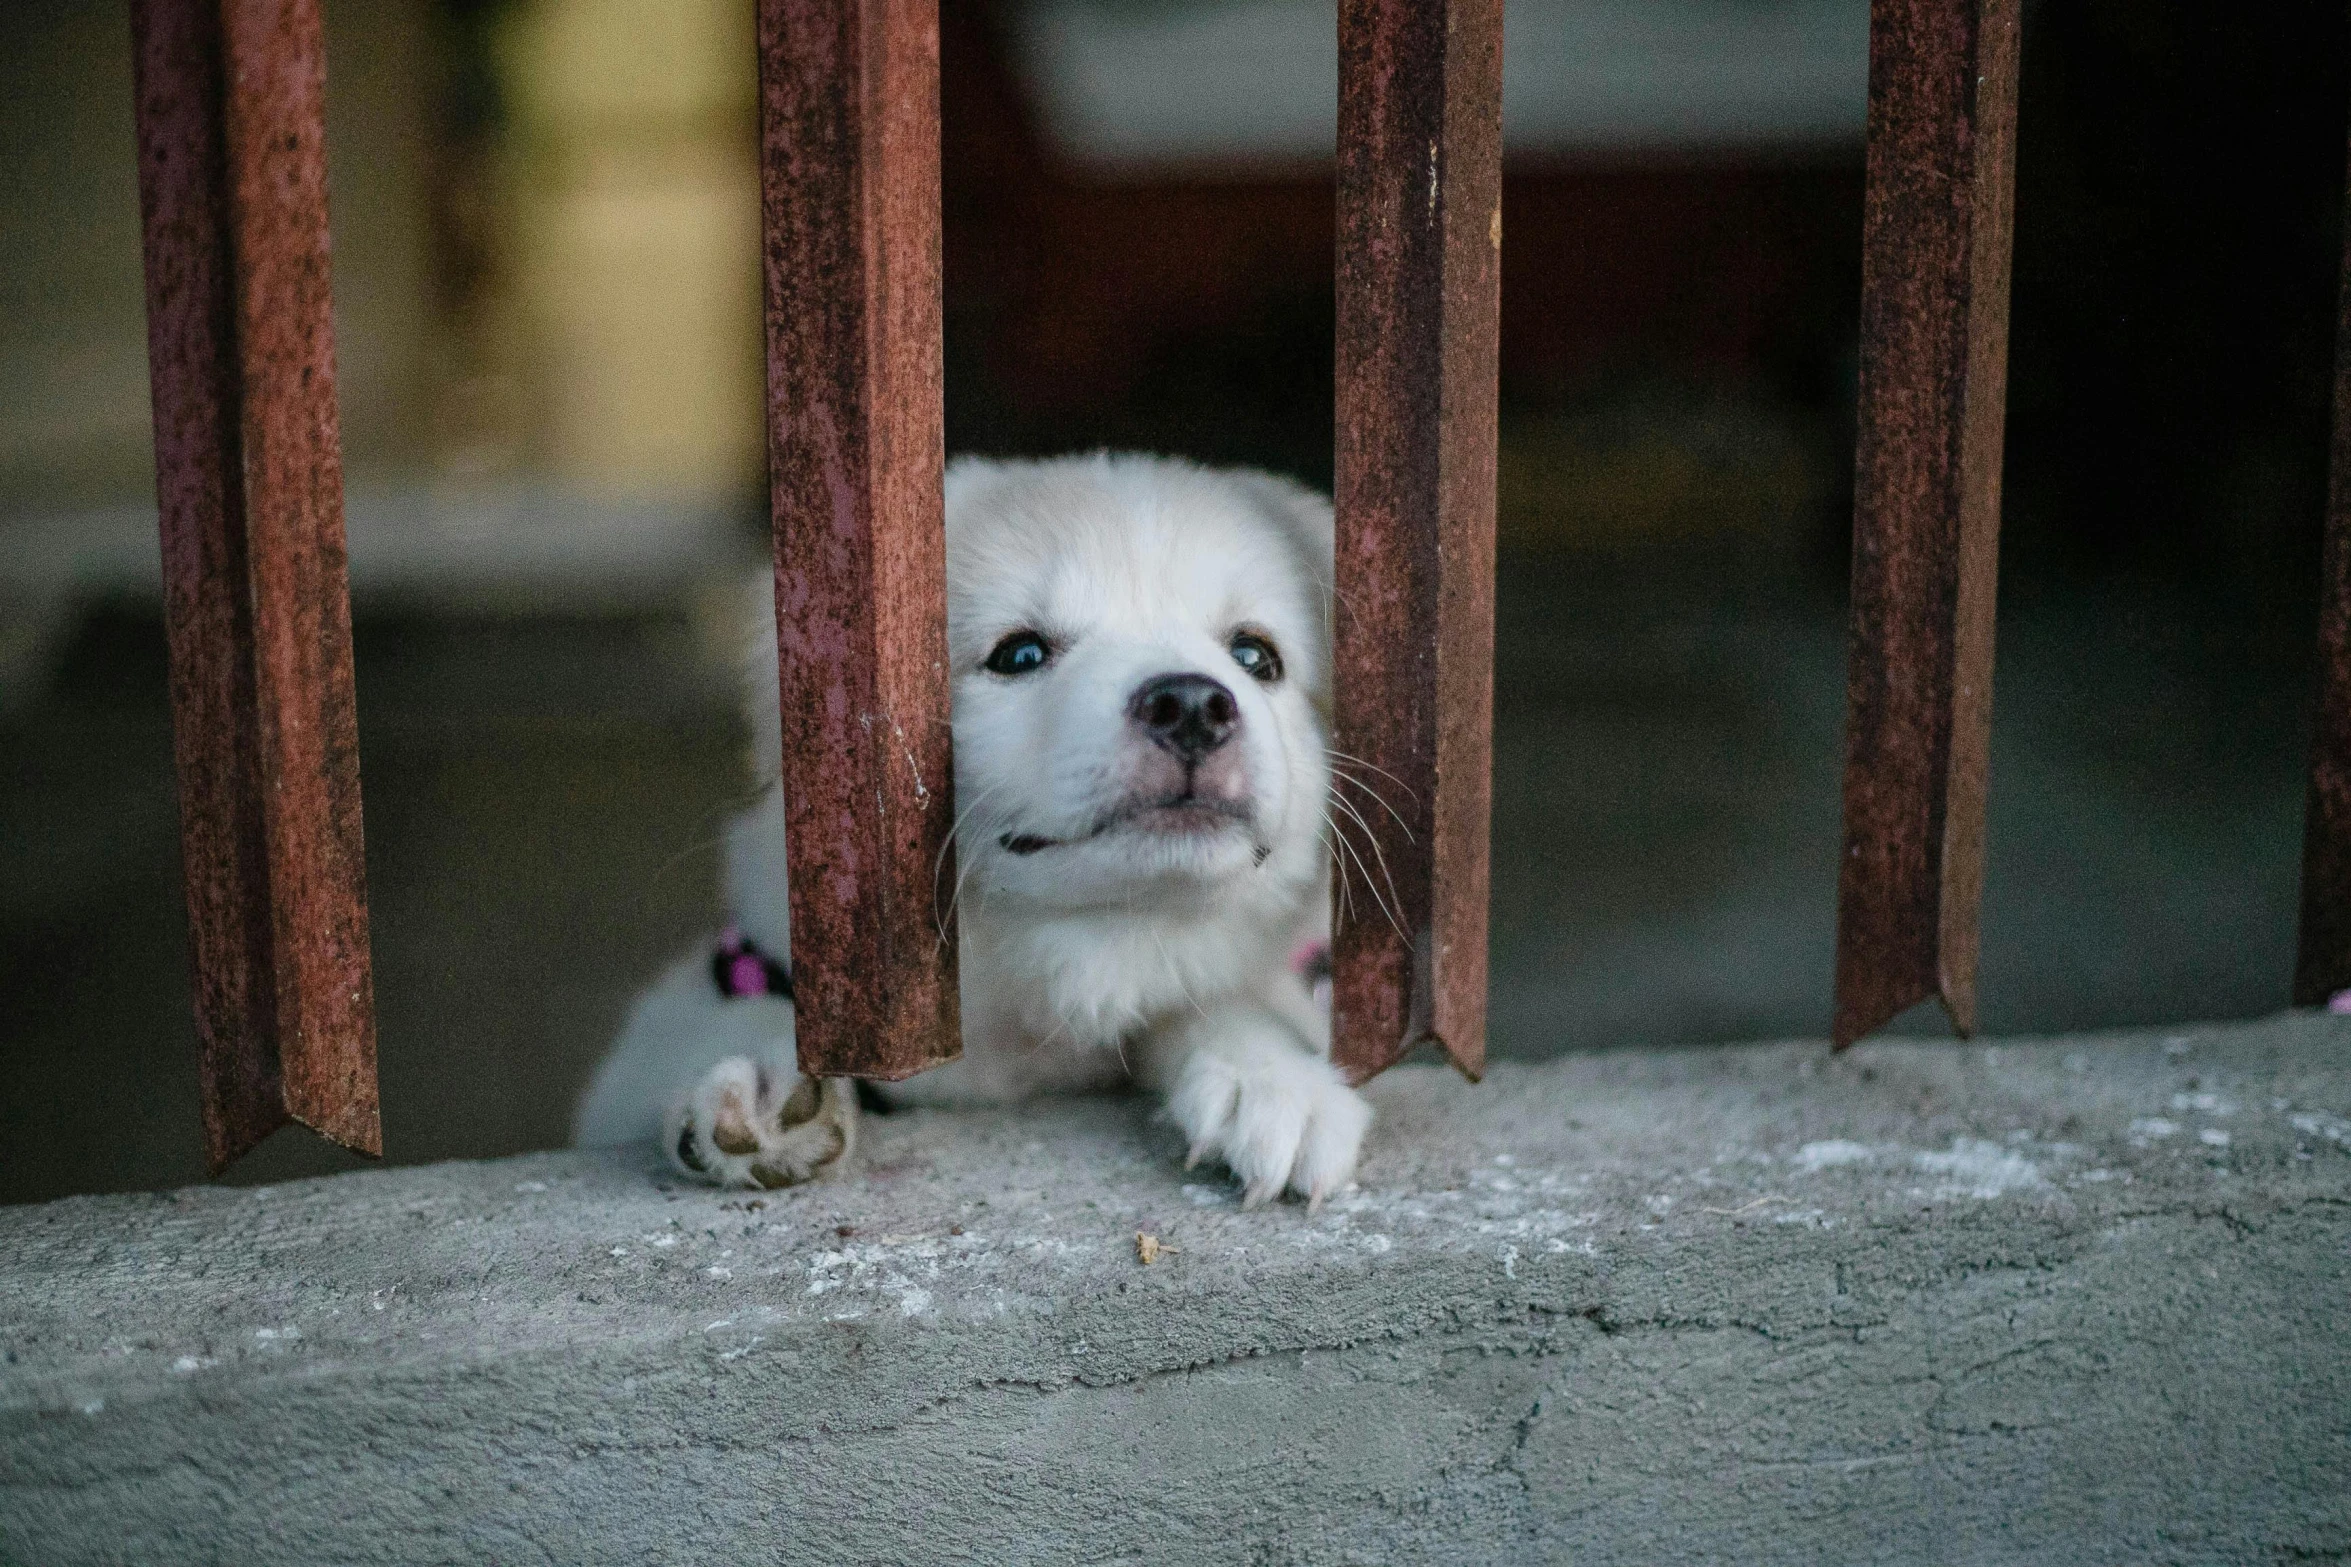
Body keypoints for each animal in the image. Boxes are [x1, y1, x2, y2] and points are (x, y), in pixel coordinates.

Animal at [575, 453, 1372, 1212]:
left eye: (1254, 656)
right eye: (1018, 655)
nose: (1193, 706)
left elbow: (1212, 1004)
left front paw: (1268, 1080)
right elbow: (712, 1019)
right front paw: (766, 1079)